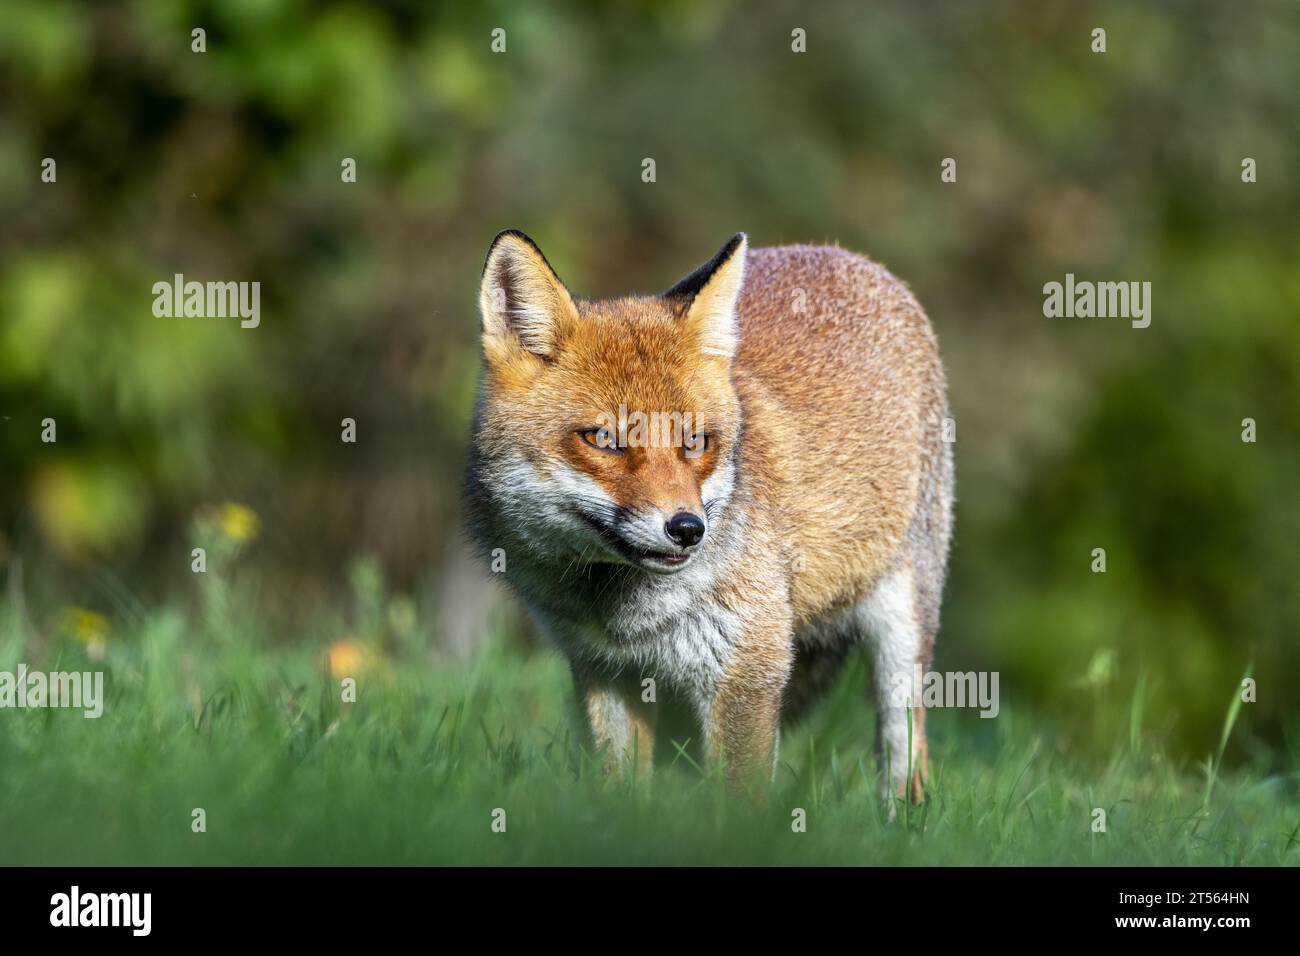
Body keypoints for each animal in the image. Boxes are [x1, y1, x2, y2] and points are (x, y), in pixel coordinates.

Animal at [463, 230, 953, 801]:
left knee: (906, 758)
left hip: (904, 635)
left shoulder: (747, 676)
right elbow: (619, 792)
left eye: (696, 441)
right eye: (603, 439)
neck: (627, 616)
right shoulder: (606, 670)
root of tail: (844, 253)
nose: (687, 529)